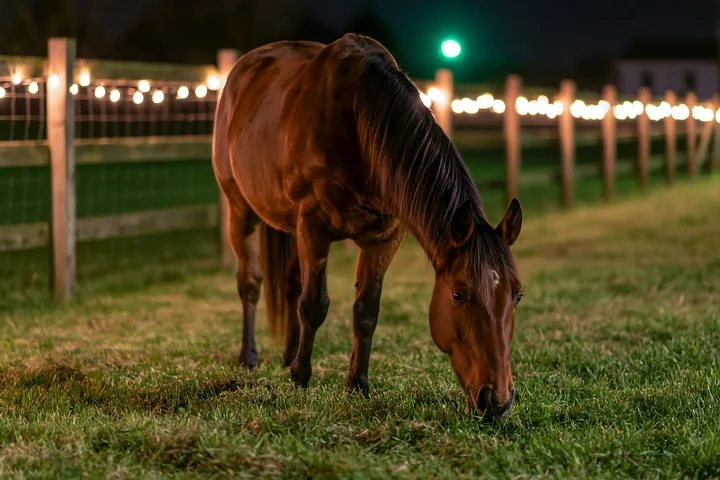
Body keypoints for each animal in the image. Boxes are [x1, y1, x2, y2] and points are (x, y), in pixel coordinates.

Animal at [212, 33, 523, 421]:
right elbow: (314, 304)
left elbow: (366, 310)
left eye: (518, 295)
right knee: (251, 283)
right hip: (241, 210)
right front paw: (300, 378)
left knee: (290, 285)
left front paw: (357, 384)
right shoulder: (313, 226)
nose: (497, 401)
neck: (358, 124)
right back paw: (250, 356)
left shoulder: (384, 238)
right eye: (458, 295)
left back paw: (289, 353)